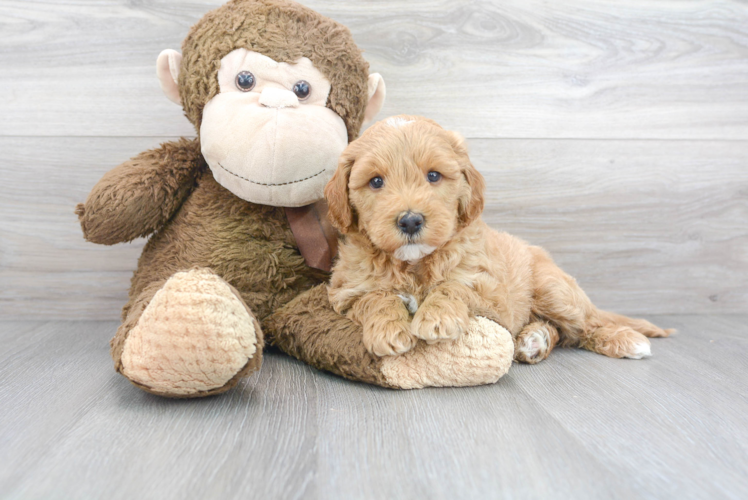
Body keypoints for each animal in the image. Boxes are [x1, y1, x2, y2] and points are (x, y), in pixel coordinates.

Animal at [326, 115, 672, 362]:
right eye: (376, 182)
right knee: (561, 331)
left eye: (434, 176)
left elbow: (454, 286)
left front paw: (437, 317)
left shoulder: (493, 298)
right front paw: (389, 329)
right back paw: (535, 341)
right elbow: (376, 297)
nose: (410, 220)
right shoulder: (346, 293)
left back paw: (624, 340)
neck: (414, 264)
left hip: (554, 289)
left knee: (585, 325)